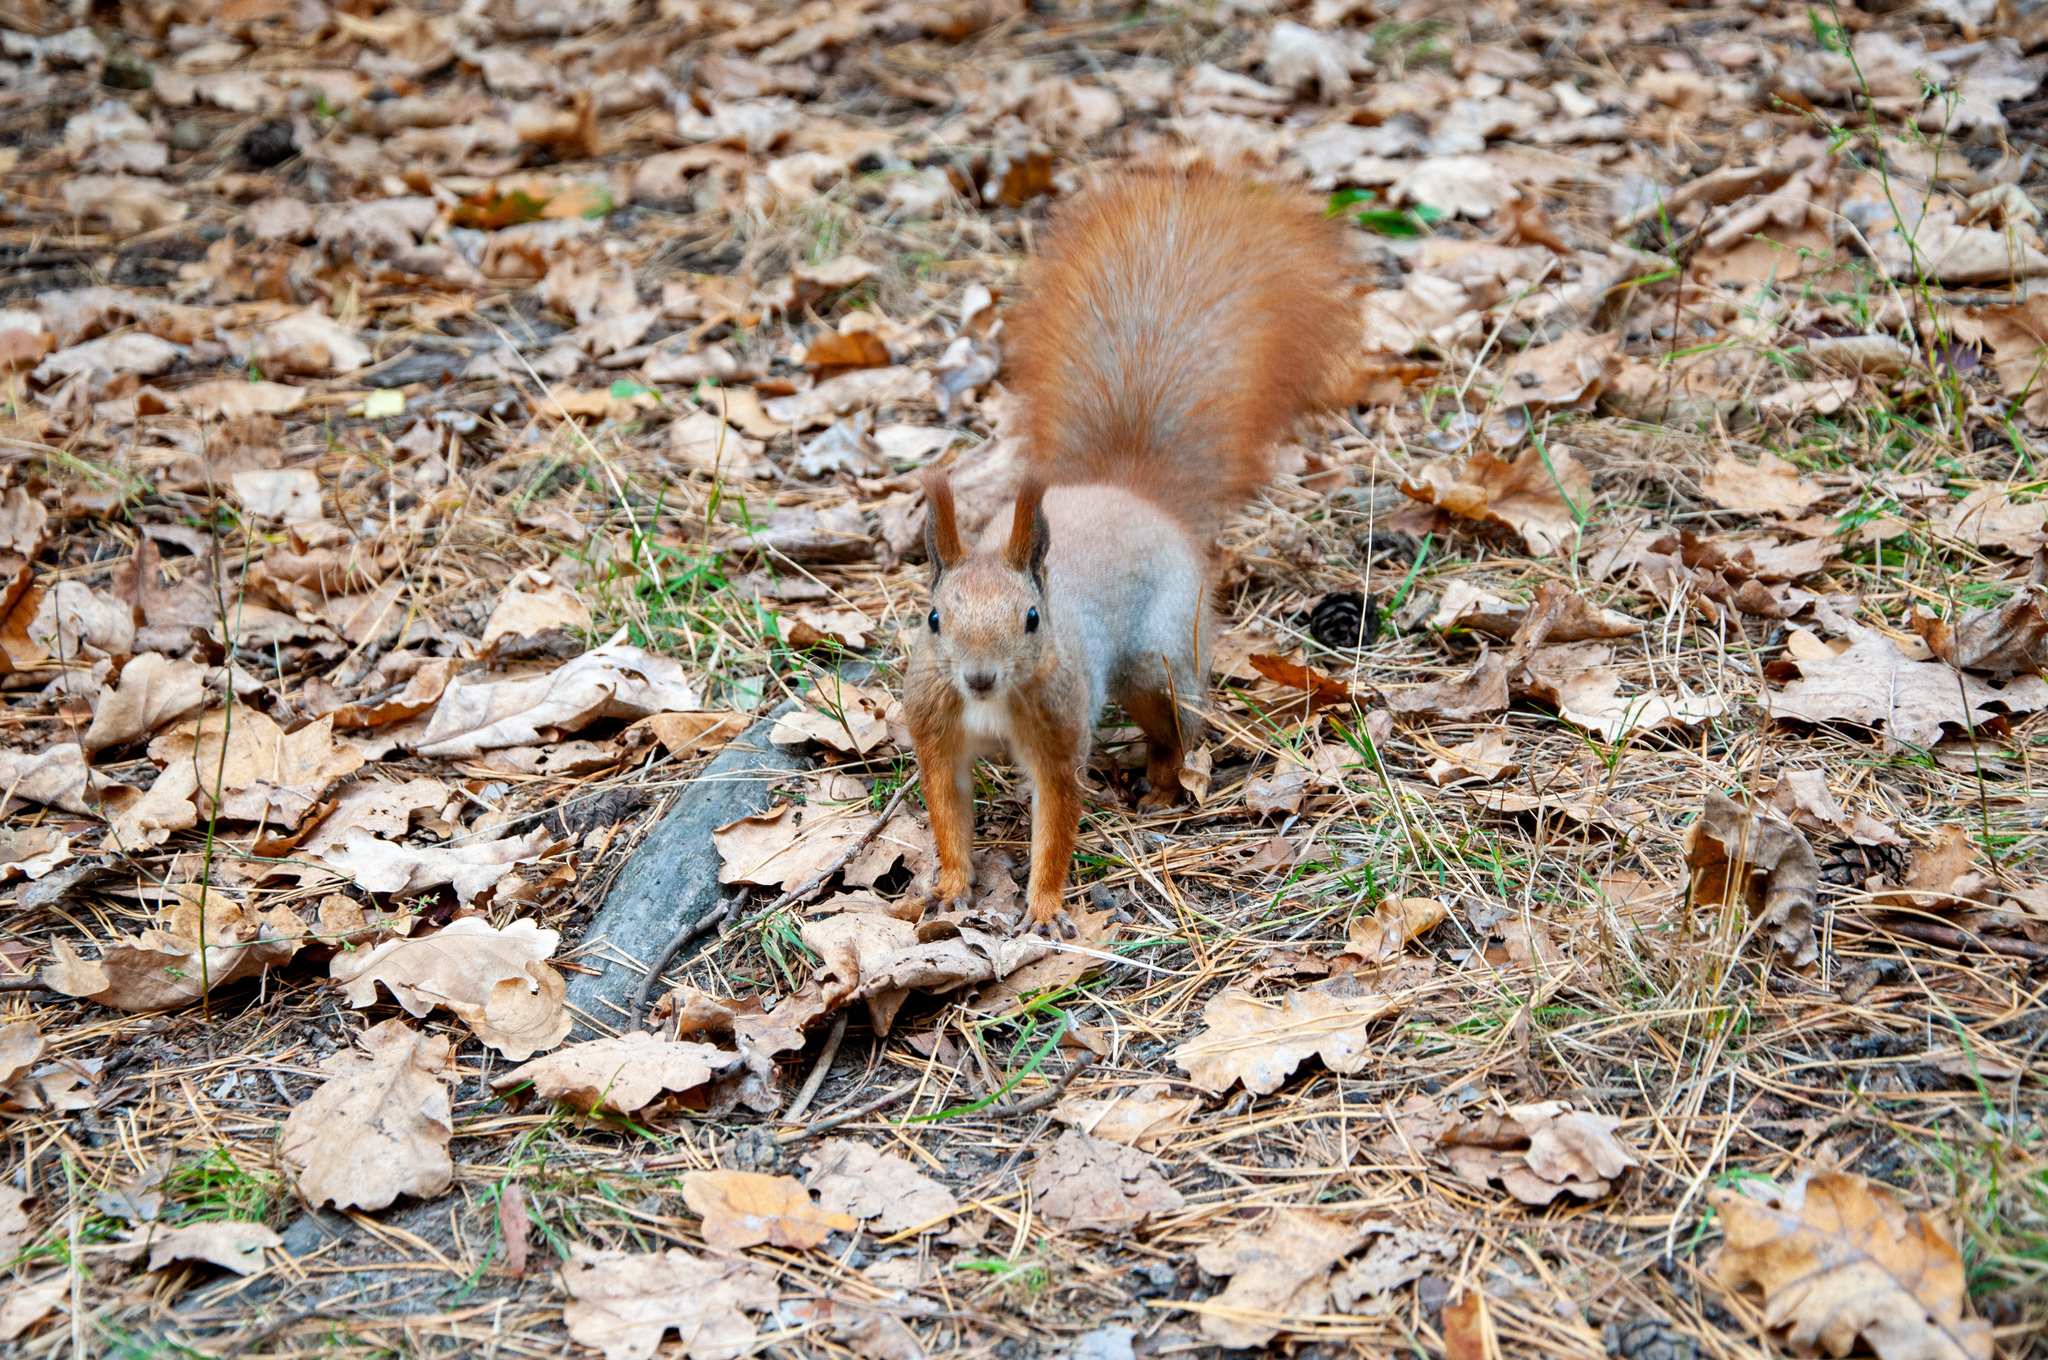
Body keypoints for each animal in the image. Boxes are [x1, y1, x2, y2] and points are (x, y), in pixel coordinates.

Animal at [901, 161, 1351, 933]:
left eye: (1032, 618)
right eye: (934, 619)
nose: (980, 679)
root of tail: (1135, 495)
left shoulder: (1059, 732)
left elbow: (1057, 817)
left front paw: (1044, 907)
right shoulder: (937, 730)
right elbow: (948, 812)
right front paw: (952, 886)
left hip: (1158, 657)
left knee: (1178, 730)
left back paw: (1164, 786)